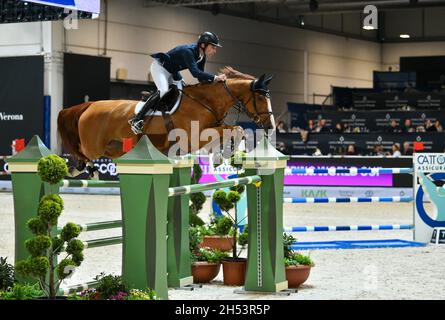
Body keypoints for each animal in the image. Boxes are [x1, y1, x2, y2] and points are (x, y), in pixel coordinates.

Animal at [57, 66, 276, 174]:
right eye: (260, 97)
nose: (270, 126)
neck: (205, 102)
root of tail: (90, 105)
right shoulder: (194, 138)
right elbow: (235, 129)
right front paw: (224, 155)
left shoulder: (214, 128)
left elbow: (235, 129)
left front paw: (224, 156)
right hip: (94, 146)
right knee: (81, 153)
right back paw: (79, 169)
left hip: (116, 147)